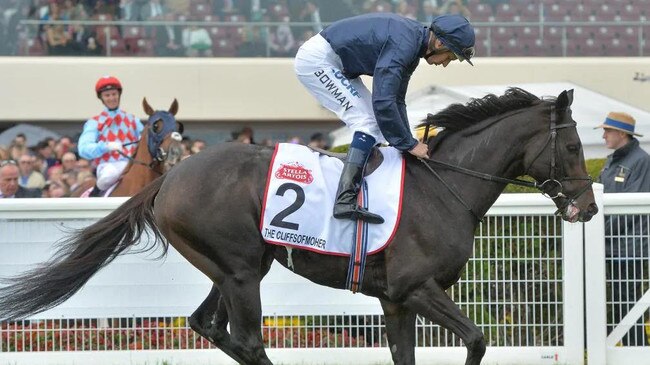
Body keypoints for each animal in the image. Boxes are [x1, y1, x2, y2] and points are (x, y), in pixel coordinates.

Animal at [0, 86, 596, 362]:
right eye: (572, 147)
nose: (587, 209)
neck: (442, 186)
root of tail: (170, 178)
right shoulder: (416, 287)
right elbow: (475, 340)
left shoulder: (395, 300)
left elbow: (406, 354)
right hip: (241, 270)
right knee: (246, 338)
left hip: (234, 269)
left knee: (209, 326)